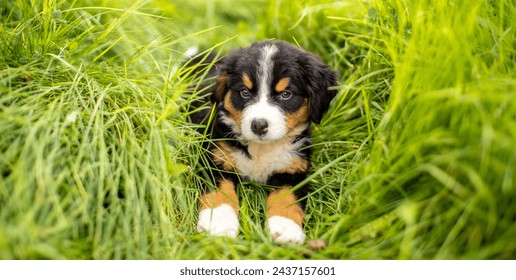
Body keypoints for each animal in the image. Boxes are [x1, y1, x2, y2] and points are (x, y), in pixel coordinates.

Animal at [185, 40, 338, 245]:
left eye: (286, 94)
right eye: (244, 92)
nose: (258, 125)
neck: (261, 150)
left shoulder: (293, 169)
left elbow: (287, 198)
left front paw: (285, 228)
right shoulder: (213, 160)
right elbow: (219, 192)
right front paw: (218, 223)